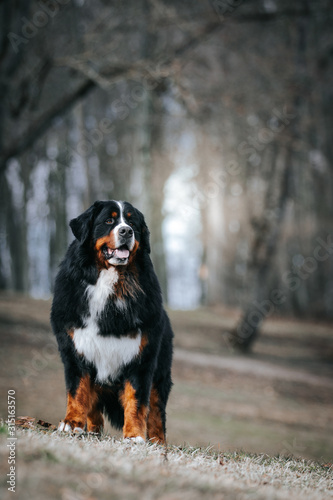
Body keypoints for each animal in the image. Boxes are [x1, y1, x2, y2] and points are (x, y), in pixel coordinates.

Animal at [51, 201, 174, 444]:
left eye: (132, 222)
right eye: (109, 220)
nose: (126, 231)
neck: (110, 282)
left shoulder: (141, 355)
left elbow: (137, 400)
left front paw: (134, 435)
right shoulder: (75, 348)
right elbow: (77, 391)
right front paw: (72, 423)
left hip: (161, 372)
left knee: (156, 411)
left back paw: (157, 442)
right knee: (94, 407)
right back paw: (91, 431)